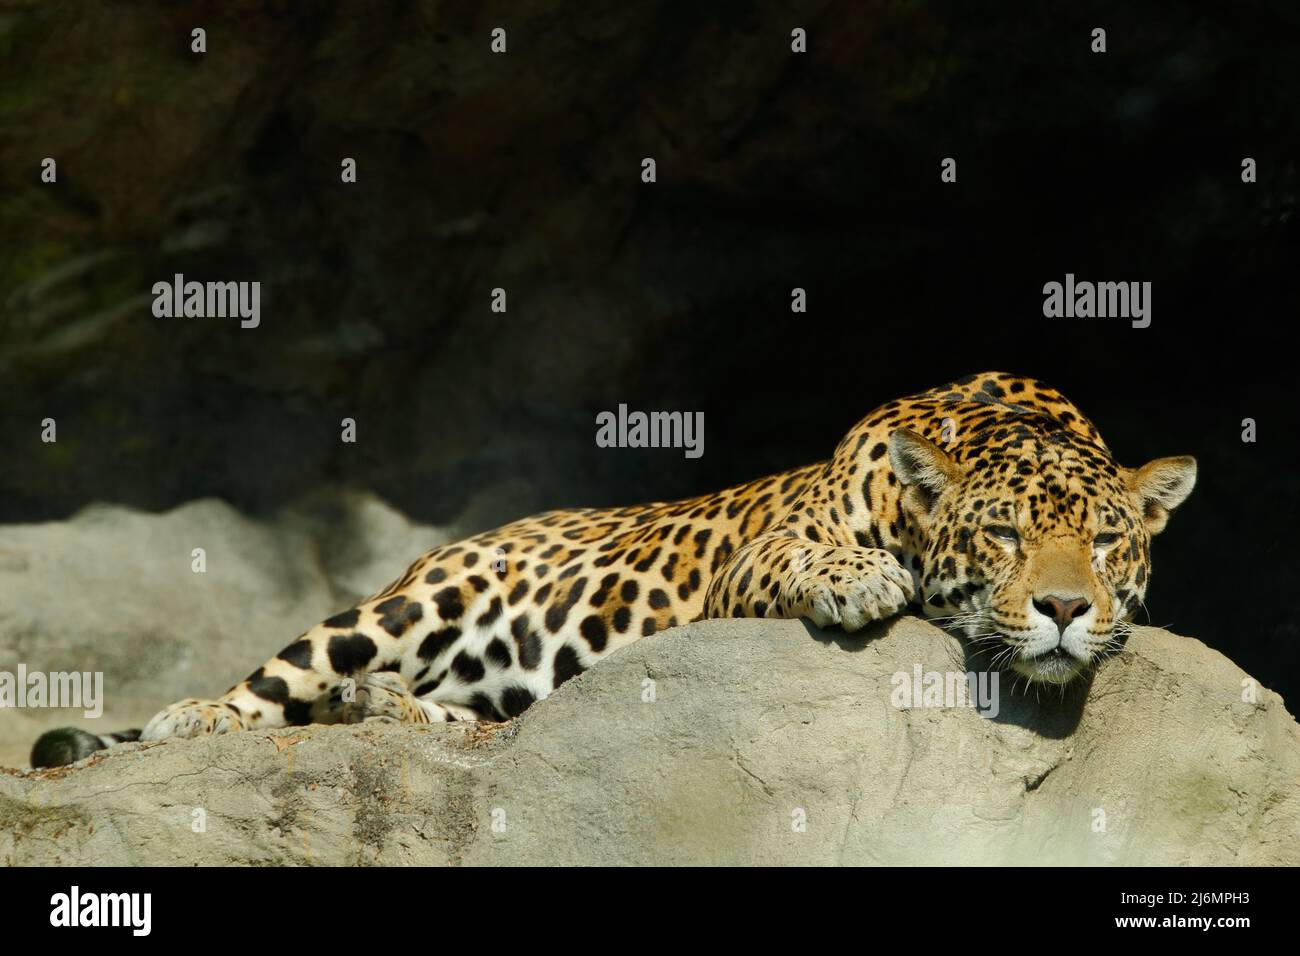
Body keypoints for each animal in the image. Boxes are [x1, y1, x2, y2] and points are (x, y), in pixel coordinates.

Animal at [30, 374, 1190, 770]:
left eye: (1105, 542)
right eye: (1001, 536)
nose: (1062, 605)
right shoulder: (753, 548)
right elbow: (804, 551)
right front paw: (860, 579)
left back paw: (386, 709)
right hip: (413, 597)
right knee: (282, 678)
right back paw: (198, 717)